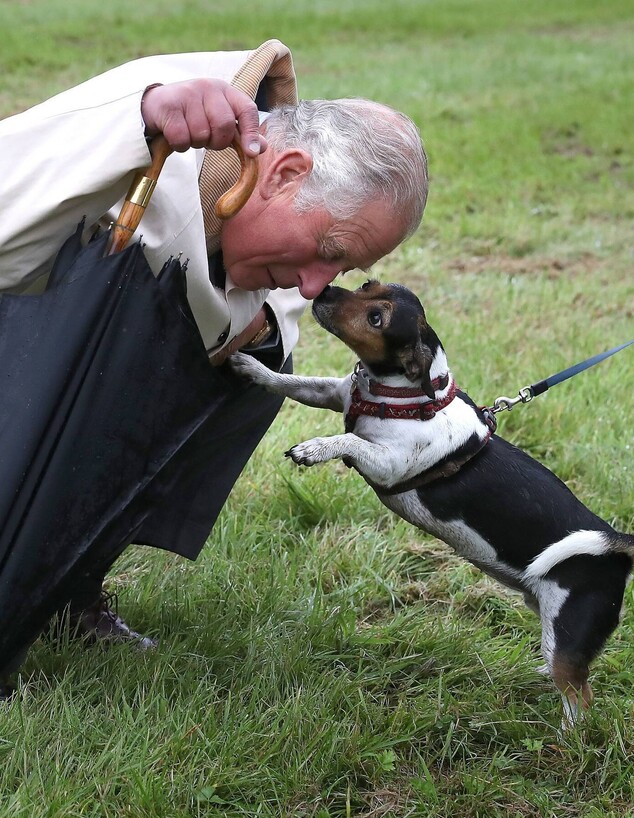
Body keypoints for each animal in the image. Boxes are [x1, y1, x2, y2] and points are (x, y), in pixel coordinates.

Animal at [230, 282, 628, 720]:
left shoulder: (387, 464)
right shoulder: (331, 393)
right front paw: (253, 368)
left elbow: (350, 440)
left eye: (376, 319)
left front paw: (315, 448)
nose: (325, 291)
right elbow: (292, 384)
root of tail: (616, 544)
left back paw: (565, 734)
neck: (401, 396)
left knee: (580, 696)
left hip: (568, 634)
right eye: (368, 285)